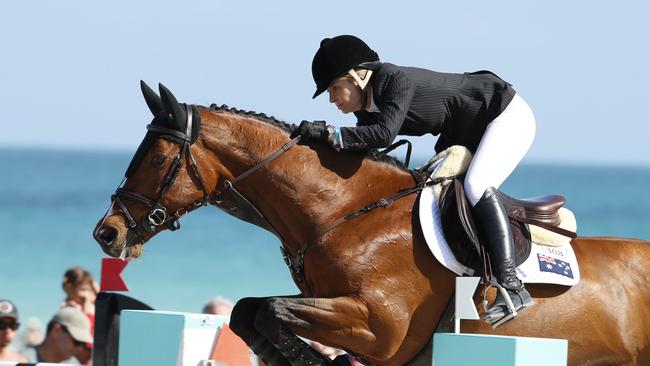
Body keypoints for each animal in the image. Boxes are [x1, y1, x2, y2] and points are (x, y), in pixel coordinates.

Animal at [92, 83, 648, 366]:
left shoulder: (378, 325)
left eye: (157, 156)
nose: (107, 232)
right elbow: (248, 311)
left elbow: (266, 309)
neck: (345, 211)